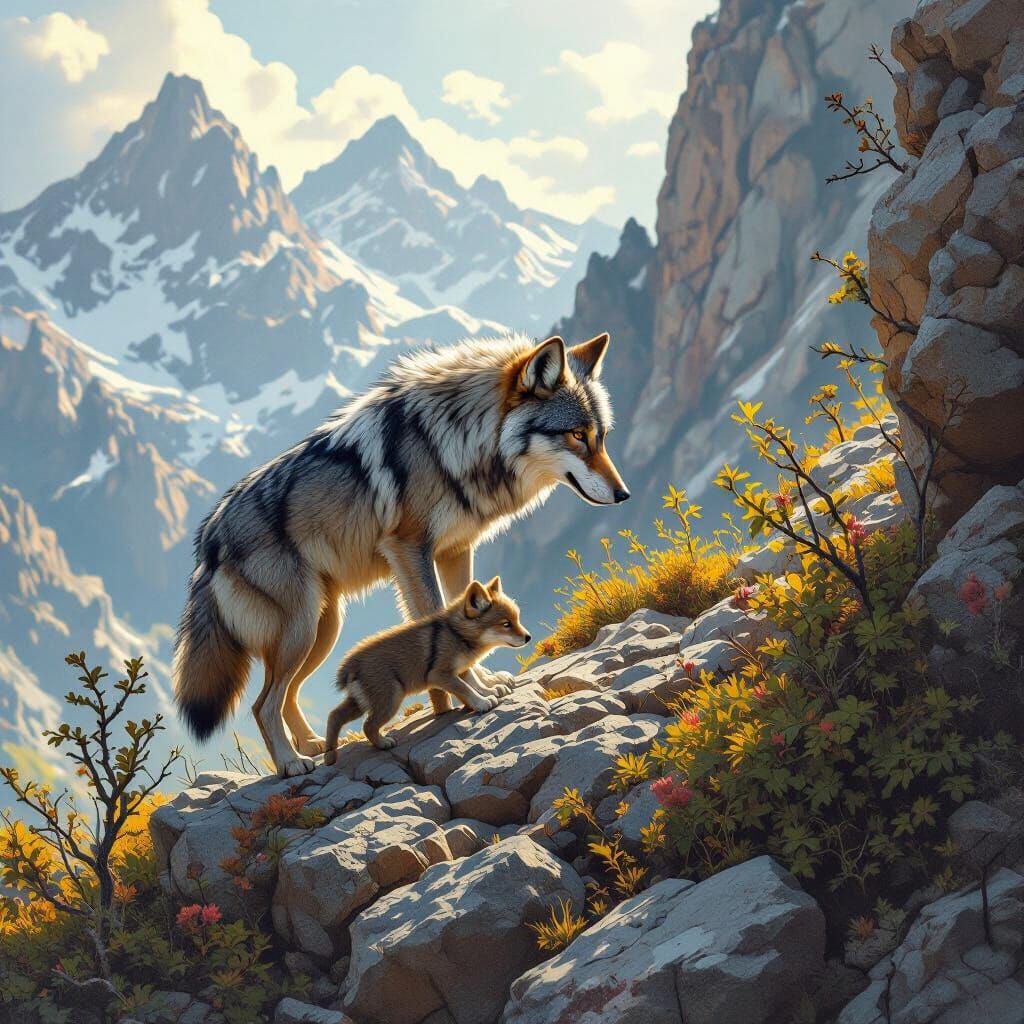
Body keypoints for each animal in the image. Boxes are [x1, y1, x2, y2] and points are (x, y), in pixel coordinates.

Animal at [324, 576, 529, 757]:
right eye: (506, 624)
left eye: (517, 619)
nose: (529, 637)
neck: (455, 634)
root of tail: (349, 665)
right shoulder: (439, 675)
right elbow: (466, 688)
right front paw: (482, 703)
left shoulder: (462, 669)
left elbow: (475, 683)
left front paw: (489, 692)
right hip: (391, 699)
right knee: (367, 725)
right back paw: (383, 743)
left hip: (362, 702)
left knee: (334, 715)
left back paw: (330, 756)